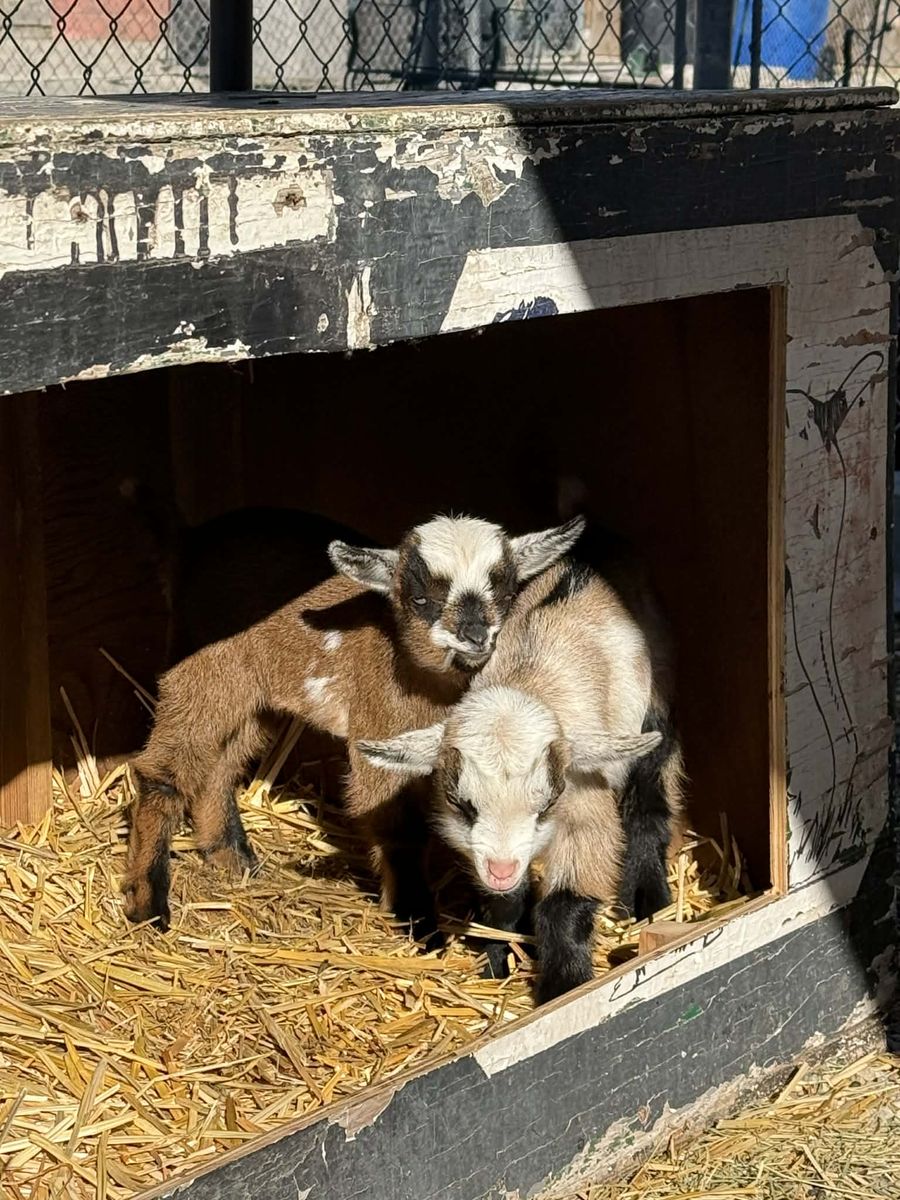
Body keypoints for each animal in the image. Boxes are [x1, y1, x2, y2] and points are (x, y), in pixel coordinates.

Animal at [123, 507, 586, 935]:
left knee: (220, 767)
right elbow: (396, 825)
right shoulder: (379, 735)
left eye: (505, 595)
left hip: (255, 695)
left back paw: (231, 856)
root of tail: (189, 541)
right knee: (162, 771)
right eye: (421, 600)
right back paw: (149, 904)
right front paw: (418, 919)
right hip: (205, 668)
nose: (475, 636)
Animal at [358, 553, 686, 1003]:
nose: (501, 869)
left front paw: (564, 987)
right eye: (463, 804)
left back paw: (647, 898)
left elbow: (564, 906)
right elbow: (500, 909)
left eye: (546, 804)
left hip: (654, 704)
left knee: (649, 797)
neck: (527, 679)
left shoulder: (584, 805)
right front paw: (497, 961)